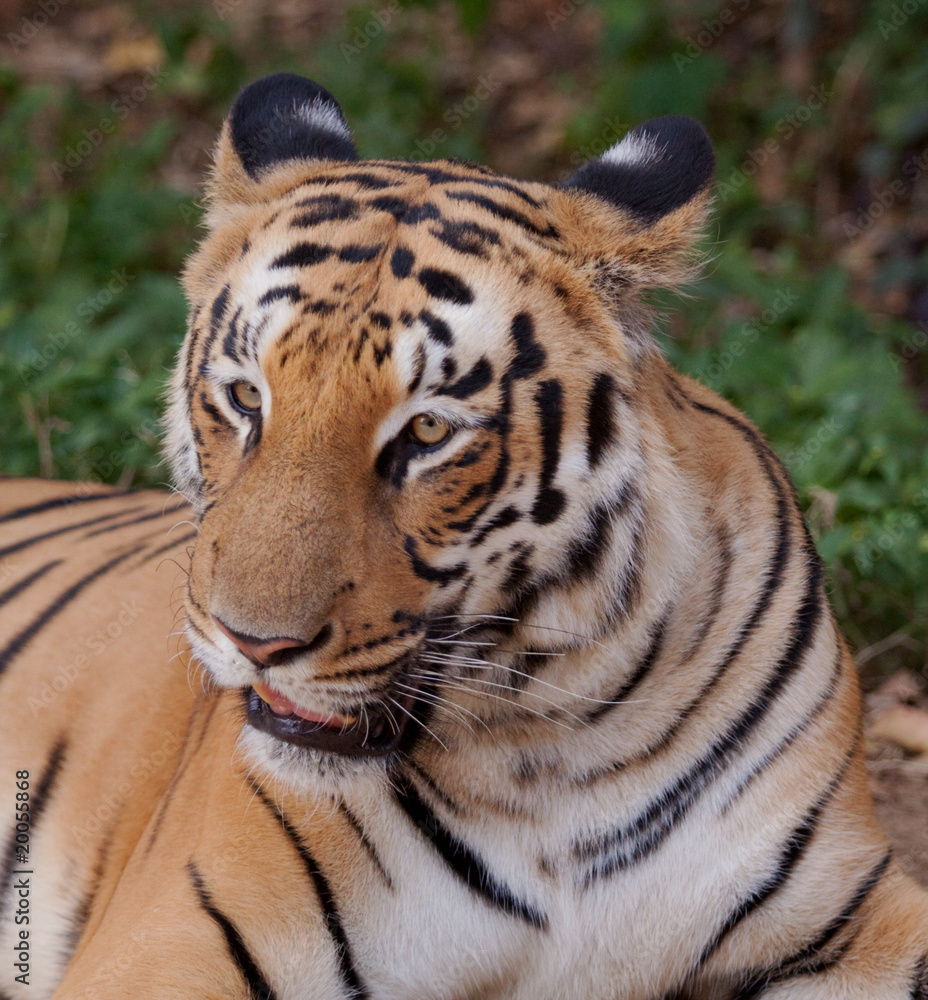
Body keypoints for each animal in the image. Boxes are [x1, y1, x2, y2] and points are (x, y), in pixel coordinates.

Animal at [1, 70, 927, 1000]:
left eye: (427, 432)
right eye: (246, 398)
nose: (253, 644)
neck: (552, 750)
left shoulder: (858, 910)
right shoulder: (172, 944)